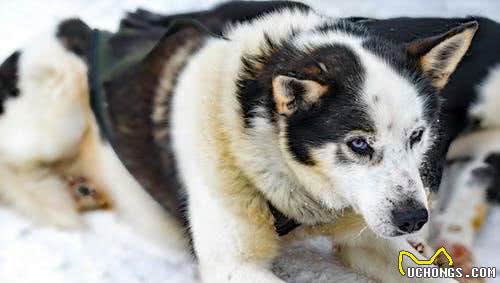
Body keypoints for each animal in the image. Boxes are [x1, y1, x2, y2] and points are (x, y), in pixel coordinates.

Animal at [0, 1, 496, 282]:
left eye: (417, 136)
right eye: (359, 144)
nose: (415, 218)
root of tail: (81, 27)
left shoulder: (369, 234)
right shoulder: (233, 264)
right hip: (57, 114)